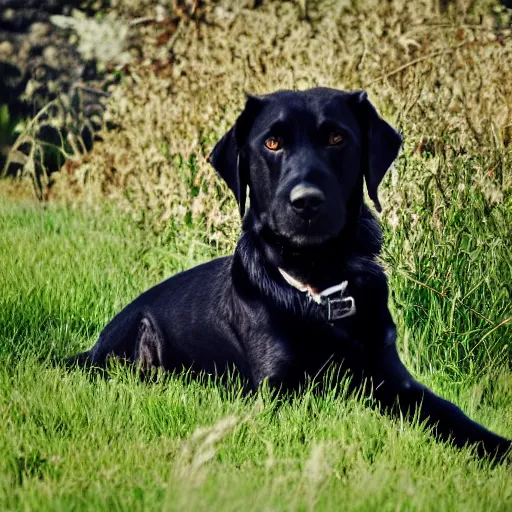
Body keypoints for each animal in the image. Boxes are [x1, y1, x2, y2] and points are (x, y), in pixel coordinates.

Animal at [73, 88, 512, 460]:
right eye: (272, 143)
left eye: (336, 138)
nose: (307, 202)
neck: (321, 285)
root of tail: (91, 349)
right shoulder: (278, 392)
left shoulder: (394, 377)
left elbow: (449, 413)